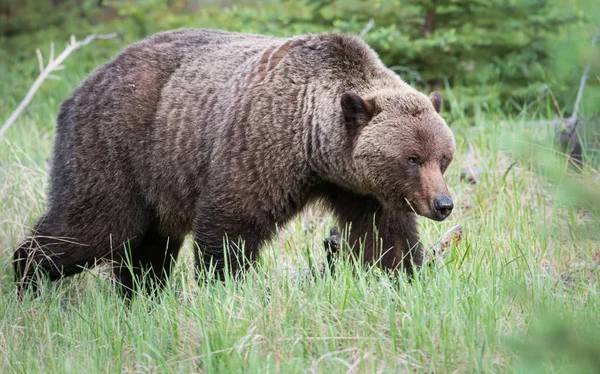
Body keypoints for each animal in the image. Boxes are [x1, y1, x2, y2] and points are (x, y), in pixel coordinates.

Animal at [14, 28, 454, 298]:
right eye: (412, 158)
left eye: (443, 158)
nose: (443, 204)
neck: (313, 147)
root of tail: (85, 82)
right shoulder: (260, 146)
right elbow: (232, 226)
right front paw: (225, 286)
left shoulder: (361, 188)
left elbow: (386, 238)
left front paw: (406, 278)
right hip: (117, 145)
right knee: (95, 226)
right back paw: (25, 278)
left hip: (158, 182)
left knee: (150, 248)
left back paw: (140, 296)